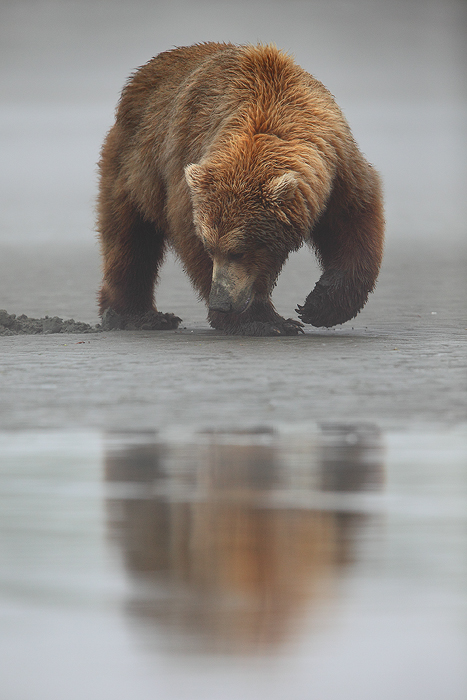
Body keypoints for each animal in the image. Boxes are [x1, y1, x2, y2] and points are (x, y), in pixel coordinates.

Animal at [97, 42, 384, 336]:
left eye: (239, 250)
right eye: (209, 247)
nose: (220, 302)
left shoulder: (336, 167)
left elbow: (354, 221)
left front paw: (320, 306)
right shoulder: (187, 172)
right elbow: (188, 236)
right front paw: (264, 320)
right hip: (135, 166)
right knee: (128, 239)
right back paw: (136, 316)